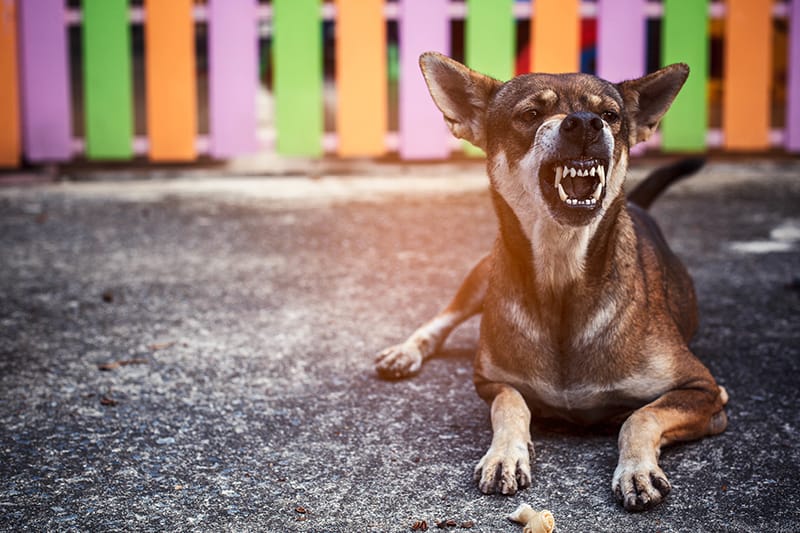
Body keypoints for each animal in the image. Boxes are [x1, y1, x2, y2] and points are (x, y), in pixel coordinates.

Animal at [372, 53, 728, 512]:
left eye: (609, 116)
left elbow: (640, 415)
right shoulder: (490, 381)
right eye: (530, 115)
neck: (562, 274)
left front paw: (636, 468)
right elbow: (511, 404)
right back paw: (406, 351)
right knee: (445, 316)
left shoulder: (705, 391)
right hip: (484, 271)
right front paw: (506, 454)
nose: (584, 124)